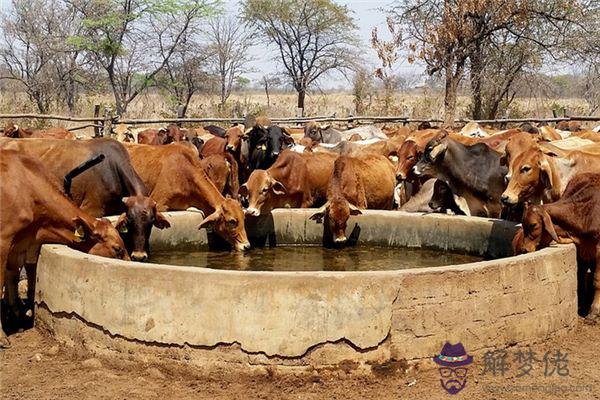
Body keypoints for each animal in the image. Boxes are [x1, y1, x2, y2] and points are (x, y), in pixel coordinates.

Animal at [510, 172, 600, 318]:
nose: (524, 249)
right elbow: (580, 275)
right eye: (522, 224)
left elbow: (597, 280)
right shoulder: (582, 249)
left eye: (533, 225)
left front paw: (594, 310)